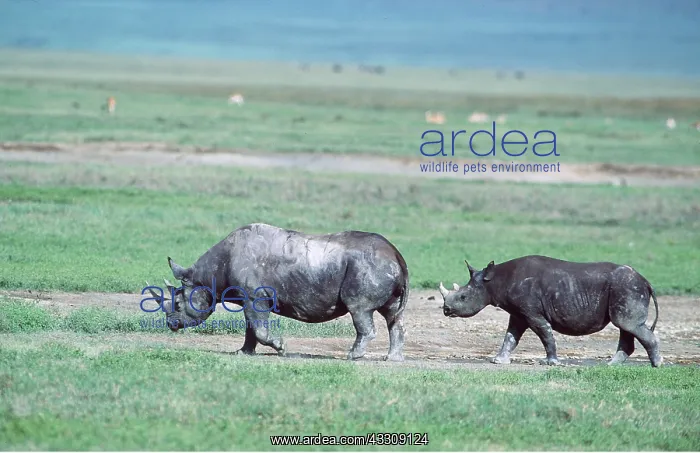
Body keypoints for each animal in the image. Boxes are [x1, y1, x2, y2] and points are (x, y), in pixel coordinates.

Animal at [144, 223, 409, 361]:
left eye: (178, 304)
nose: (171, 324)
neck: (208, 276)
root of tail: (396, 254)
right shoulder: (249, 298)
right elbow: (251, 328)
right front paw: (243, 353)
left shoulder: (255, 296)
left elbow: (259, 328)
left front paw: (281, 348)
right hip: (380, 266)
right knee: (392, 315)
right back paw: (392, 359)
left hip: (369, 266)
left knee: (360, 310)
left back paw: (351, 356)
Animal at [438, 255, 662, 367]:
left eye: (463, 297)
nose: (446, 310)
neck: (493, 281)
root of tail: (646, 281)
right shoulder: (518, 313)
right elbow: (510, 337)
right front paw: (498, 361)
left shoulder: (531, 312)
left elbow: (545, 334)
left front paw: (550, 362)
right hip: (625, 288)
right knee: (626, 326)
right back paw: (611, 365)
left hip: (627, 287)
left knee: (627, 324)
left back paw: (656, 365)